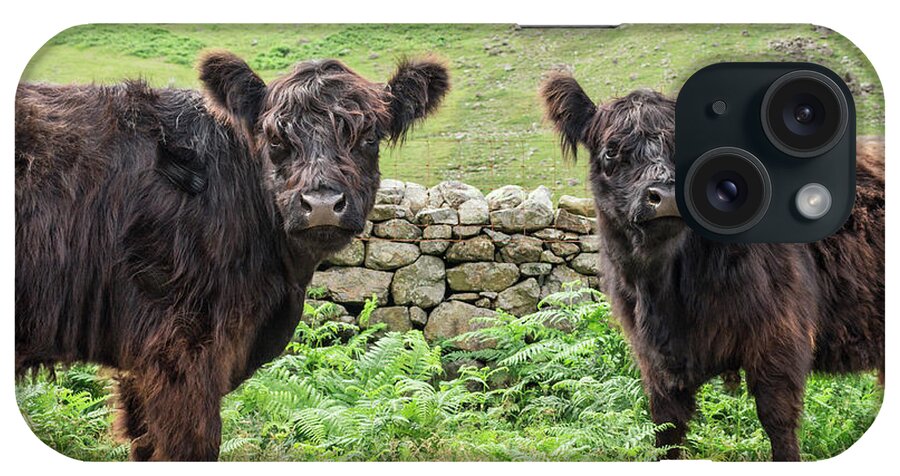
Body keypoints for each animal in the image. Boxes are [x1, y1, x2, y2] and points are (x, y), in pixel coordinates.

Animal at [536, 75, 884, 462]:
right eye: (611, 151)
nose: (666, 198)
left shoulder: (780, 340)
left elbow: (778, 423)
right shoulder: (654, 362)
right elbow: (667, 430)